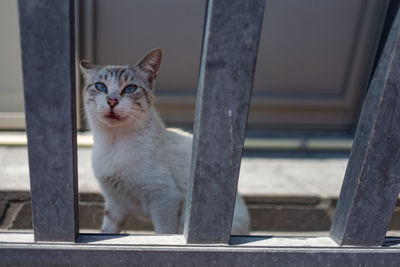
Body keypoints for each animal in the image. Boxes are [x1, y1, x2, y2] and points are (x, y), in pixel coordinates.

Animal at [79, 49, 250, 236]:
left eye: (130, 88)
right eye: (101, 86)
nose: (112, 101)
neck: (113, 142)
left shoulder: (165, 199)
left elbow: (163, 233)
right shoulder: (115, 205)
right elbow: (106, 232)